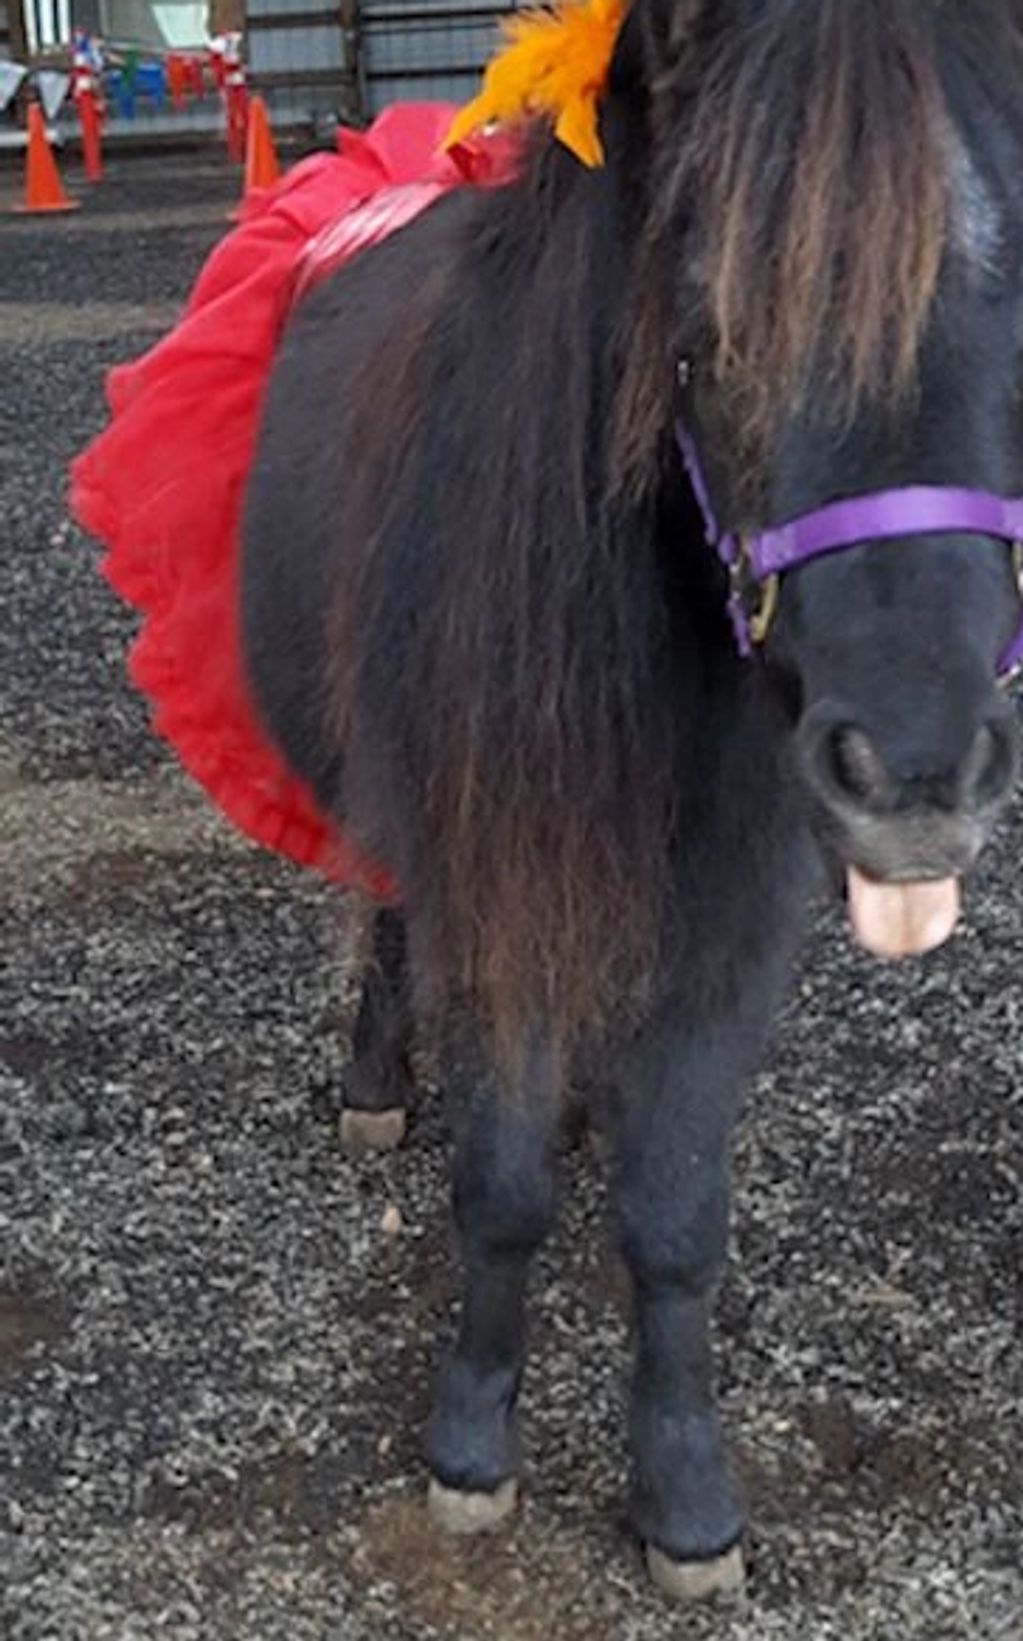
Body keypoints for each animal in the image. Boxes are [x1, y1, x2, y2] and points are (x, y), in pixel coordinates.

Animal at [241, 0, 1023, 1595]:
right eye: (711, 321)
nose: (920, 772)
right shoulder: (496, 878)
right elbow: (499, 1192)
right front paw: (472, 1446)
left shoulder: (730, 924)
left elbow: (673, 1220)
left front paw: (683, 1495)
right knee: (385, 911)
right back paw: (377, 1082)